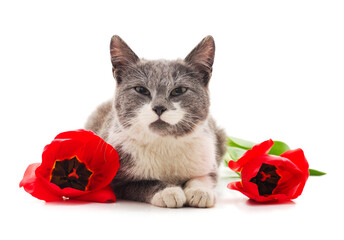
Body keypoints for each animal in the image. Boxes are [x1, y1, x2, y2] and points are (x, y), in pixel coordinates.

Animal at [85, 34, 227, 207]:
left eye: (179, 90)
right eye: (141, 90)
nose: (159, 108)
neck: (164, 143)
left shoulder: (209, 156)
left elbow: (206, 177)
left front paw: (200, 190)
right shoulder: (117, 180)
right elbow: (144, 183)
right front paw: (169, 191)